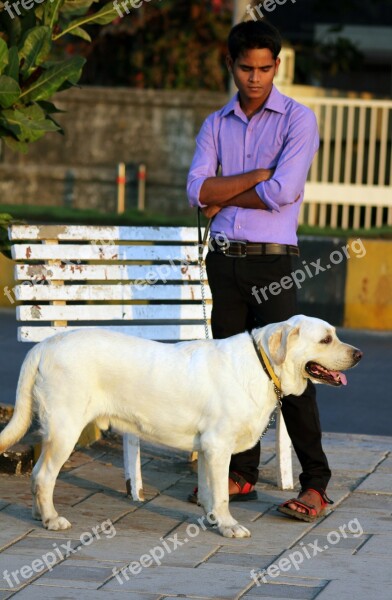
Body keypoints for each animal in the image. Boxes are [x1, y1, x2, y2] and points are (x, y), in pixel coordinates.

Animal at [0, 314, 362, 540]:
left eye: (335, 335)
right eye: (326, 339)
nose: (358, 354)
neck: (264, 365)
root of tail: (45, 345)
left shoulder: (206, 449)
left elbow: (210, 492)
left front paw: (212, 520)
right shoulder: (218, 445)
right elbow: (222, 496)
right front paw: (229, 526)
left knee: (38, 477)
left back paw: (38, 514)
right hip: (66, 428)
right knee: (43, 476)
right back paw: (51, 518)